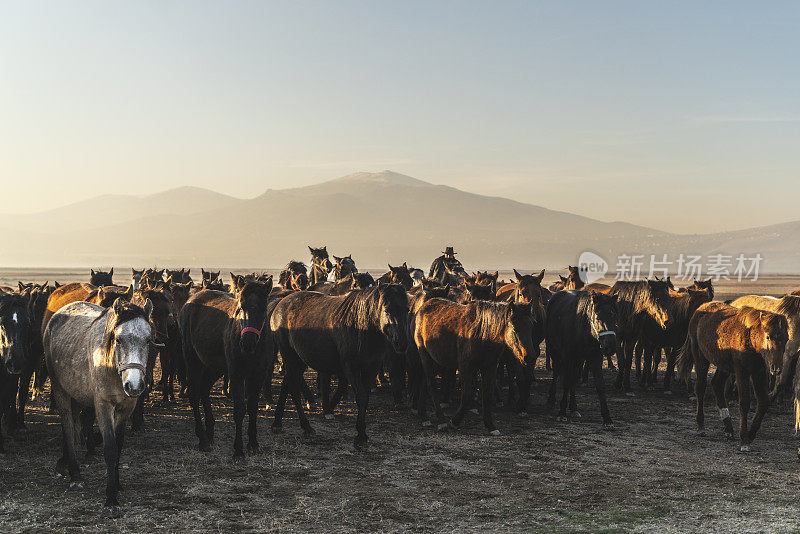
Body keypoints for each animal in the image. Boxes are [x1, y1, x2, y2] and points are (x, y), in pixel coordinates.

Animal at [44, 300, 155, 516]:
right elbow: (110, 448)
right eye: (118, 339)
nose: (134, 386)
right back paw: (75, 475)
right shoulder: (103, 406)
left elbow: (119, 447)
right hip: (60, 390)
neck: (112, 366)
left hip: (77, 394)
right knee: (68, 425)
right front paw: (111, 499)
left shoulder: (125, 408)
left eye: (148, 340)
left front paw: (117, 485)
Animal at [179, 280, 276, 460]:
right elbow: (239, 410)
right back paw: (202, 439)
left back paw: (209, 432)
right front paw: (238, 450)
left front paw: (253, 444)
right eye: (241, 307)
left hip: (214, 366)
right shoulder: (236, 374)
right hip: (193, 360)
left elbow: (252, 407)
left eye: (263, 308)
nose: (247, 342)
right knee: (194, 394)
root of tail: (190, 300)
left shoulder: (258, 375)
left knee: (204, 389)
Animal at [676, 302, 788, 452]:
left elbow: (764, 402)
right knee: (700, 388)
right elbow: (744, 403)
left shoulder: (759, 372)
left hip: (724, 366)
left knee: (717, 385)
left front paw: (750, 435)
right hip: (701, 359)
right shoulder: (742, 372)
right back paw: (701, 427)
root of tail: (700, 309)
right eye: (769, 336)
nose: (777, 368)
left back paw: (728, 428)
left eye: (786, 339)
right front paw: (744, 440)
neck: (749, 338)